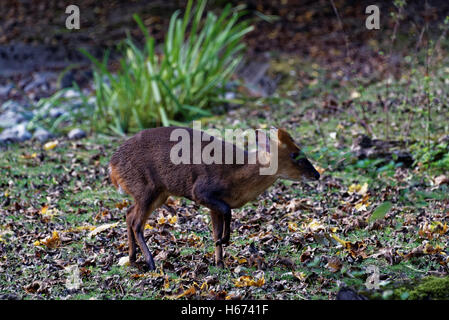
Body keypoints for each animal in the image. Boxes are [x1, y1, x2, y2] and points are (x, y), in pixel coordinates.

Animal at [108, 125, 318, 270]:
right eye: (294, 154)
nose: (317, 174)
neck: (237, 175)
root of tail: (112, 166)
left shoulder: (211, 205)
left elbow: (215, 230)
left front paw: (219, 261)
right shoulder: (200, 191)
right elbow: (227, 211)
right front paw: (224, 241)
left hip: (157, 193)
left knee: (129, 214)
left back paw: (132, 258)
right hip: (146, 189)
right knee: (136, 223)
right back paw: (151, 263)